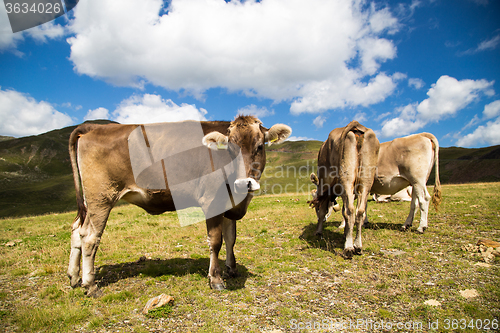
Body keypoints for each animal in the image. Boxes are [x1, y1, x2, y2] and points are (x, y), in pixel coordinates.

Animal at [68, 115, 292, 294]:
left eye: (260, 146)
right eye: (230, 148)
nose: (244, 183)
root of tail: (93, 127)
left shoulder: (229, 204)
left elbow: (231, 238)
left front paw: (232, 268)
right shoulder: (212, 201)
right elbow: (216, 241)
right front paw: (216, 279)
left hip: (89, 201)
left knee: (77, 229)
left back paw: (74, 277)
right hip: (101, 197)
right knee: (90, 237)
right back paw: (90, 285)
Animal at [308, 120, 378, 258]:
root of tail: (356, 125)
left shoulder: (325, 185)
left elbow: (324, 209)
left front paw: (318, 231)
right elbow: (344, 211)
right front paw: (345, 233)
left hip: (345, 178)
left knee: (350, 210)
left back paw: (349, 248)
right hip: (365, 181)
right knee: (359, 211)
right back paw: (357, 245)